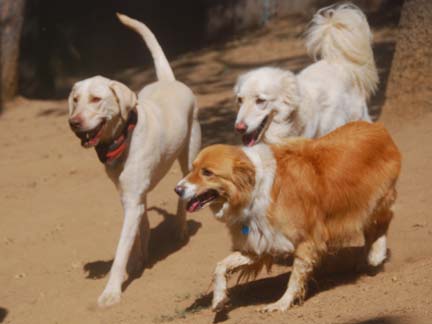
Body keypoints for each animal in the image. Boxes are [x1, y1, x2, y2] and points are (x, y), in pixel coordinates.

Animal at [174, 121, 400, 312]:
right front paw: (219, 299)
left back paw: (376, 254)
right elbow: (221, 265)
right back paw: (366, 260)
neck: (254, 189)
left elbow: (294, 278)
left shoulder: (307, 240)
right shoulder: (260, 242)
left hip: (374, 201)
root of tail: (379, 128)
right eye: (192, 168)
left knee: (384, 220)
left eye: (207, 172)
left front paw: (281, 304)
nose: (177, 189)